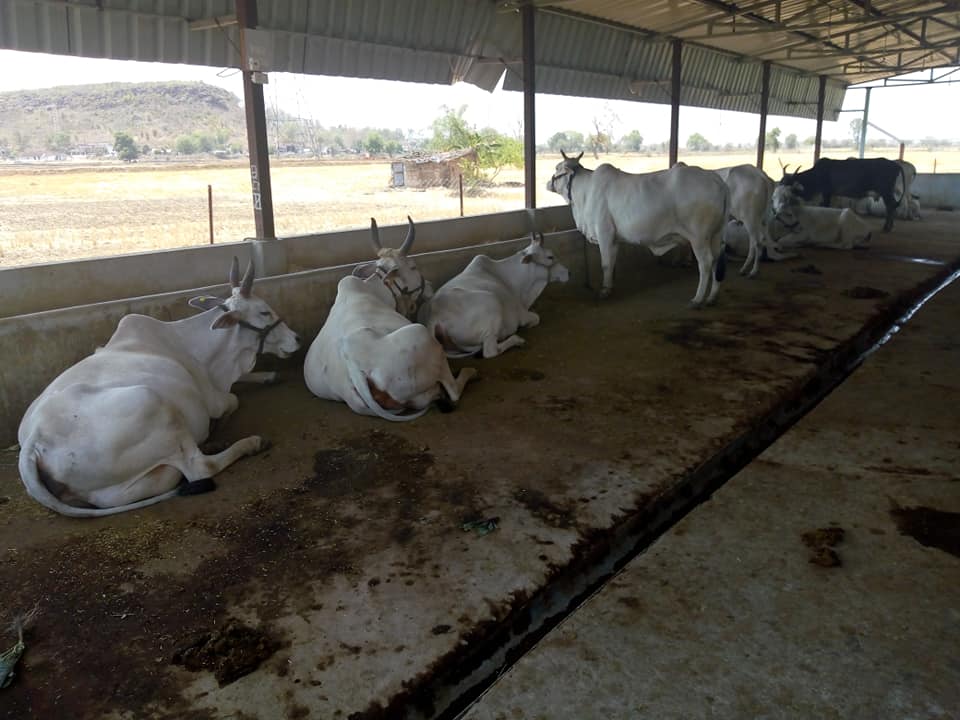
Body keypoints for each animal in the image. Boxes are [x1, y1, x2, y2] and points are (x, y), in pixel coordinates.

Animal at [19, 258, 304, 516]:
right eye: (264, 311)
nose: (297, 339)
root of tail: (34, 440)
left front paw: (269, 375)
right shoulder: (212, 399)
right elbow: (233, 400)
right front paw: (221, 424)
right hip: (151, 401)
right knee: (200, 468)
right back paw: (249, 443)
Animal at [304, 217, 476, 422]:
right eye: (413, 266)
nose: (430, 286)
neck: (377, 289)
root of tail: (355, 371)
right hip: (423, 336)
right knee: (453, 391)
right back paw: (467, 374)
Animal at [416, 232, 568, 358]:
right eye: (550, 257)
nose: (569, 273)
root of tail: (434, 318)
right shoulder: (521, 314)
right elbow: (536, 318)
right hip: (492, 303)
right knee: (490, 351)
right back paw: (516, 340)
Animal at [548, 153, 728, 306]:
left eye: (557, 168)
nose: (548, 183)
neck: (585, 192)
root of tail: (716, 180)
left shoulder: (604, 233)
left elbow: (605, 264)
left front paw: (604, 291)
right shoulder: (614, 239)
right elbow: (611, 263)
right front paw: (610, 286)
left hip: (699, 238)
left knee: (705, 263)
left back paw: (697, 299)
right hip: (716, 234)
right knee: (716, 259)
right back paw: (712, 297)